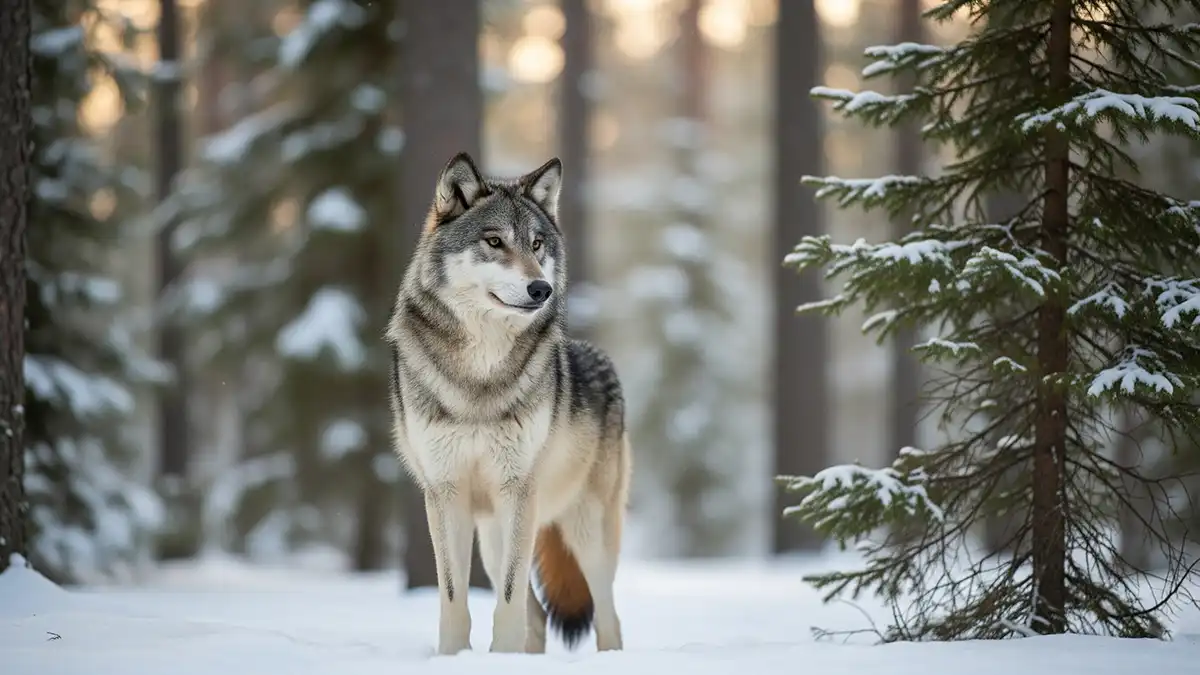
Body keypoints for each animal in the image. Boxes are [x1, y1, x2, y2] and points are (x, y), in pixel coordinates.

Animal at [384, 152, 632, 655]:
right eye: (495, 241)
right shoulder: (445, 494)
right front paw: (456, 658)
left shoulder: (518, 489)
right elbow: (455, 597)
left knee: (608, 620)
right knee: (537, 617)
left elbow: (510, 599)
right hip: (496, 536)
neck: (481, 371)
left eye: (537, 244)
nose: (541, 290)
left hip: (585, 532)